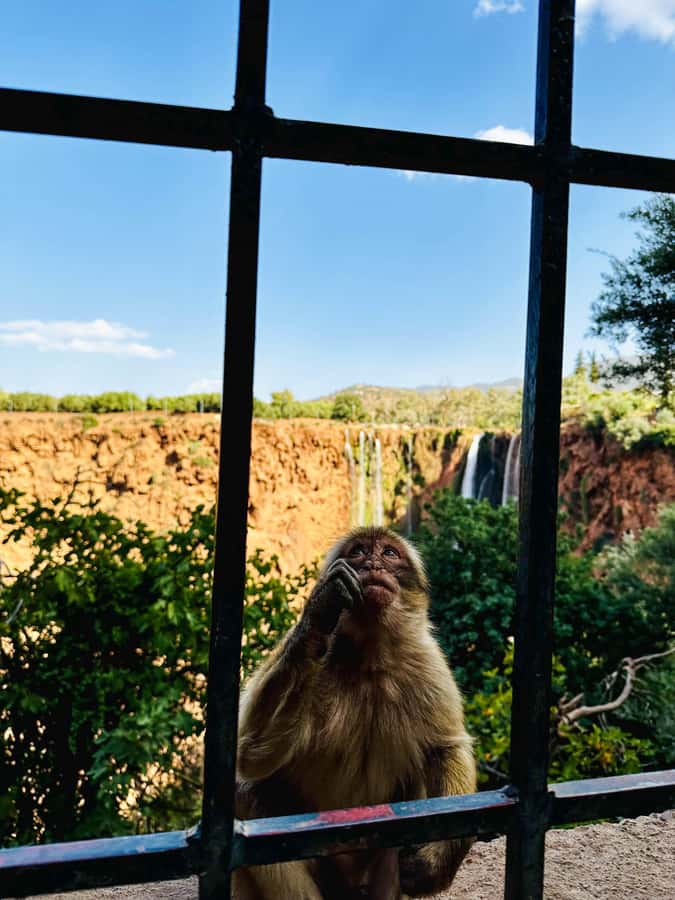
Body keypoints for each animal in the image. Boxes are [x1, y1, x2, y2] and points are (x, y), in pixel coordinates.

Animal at [233, 527, 476, 899]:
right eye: (359, 551)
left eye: (389, 553)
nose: (373, 563)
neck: (370, 658)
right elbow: (251, 755)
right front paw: (320, 611)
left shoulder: (427, 662)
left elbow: (445, 749)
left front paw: (439, 861)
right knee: (246, 795)